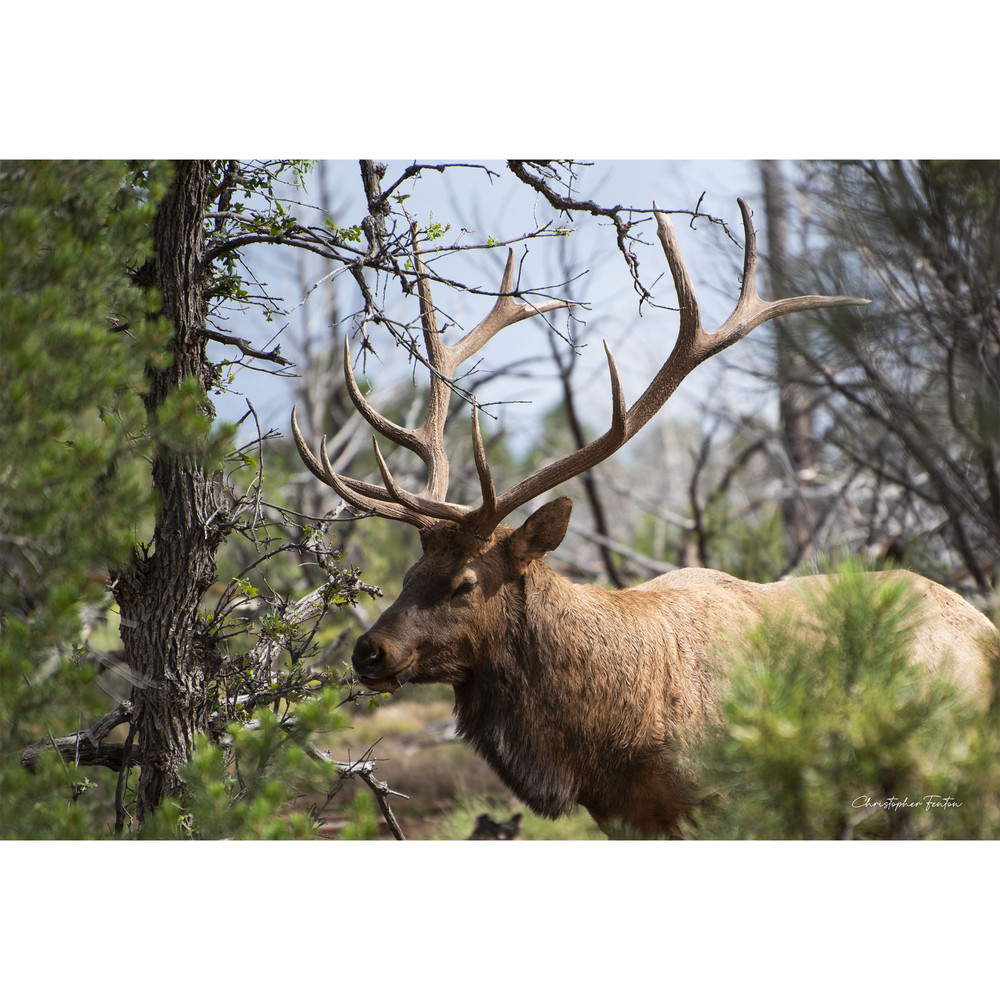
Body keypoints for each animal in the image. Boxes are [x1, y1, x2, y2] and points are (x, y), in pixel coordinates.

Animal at [292, 199, 1000, 837]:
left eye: (465, 582)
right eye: (410, 573)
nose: (369, 651)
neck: (611, 742)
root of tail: (982, 623)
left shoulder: (729, 806)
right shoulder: (627, 821)